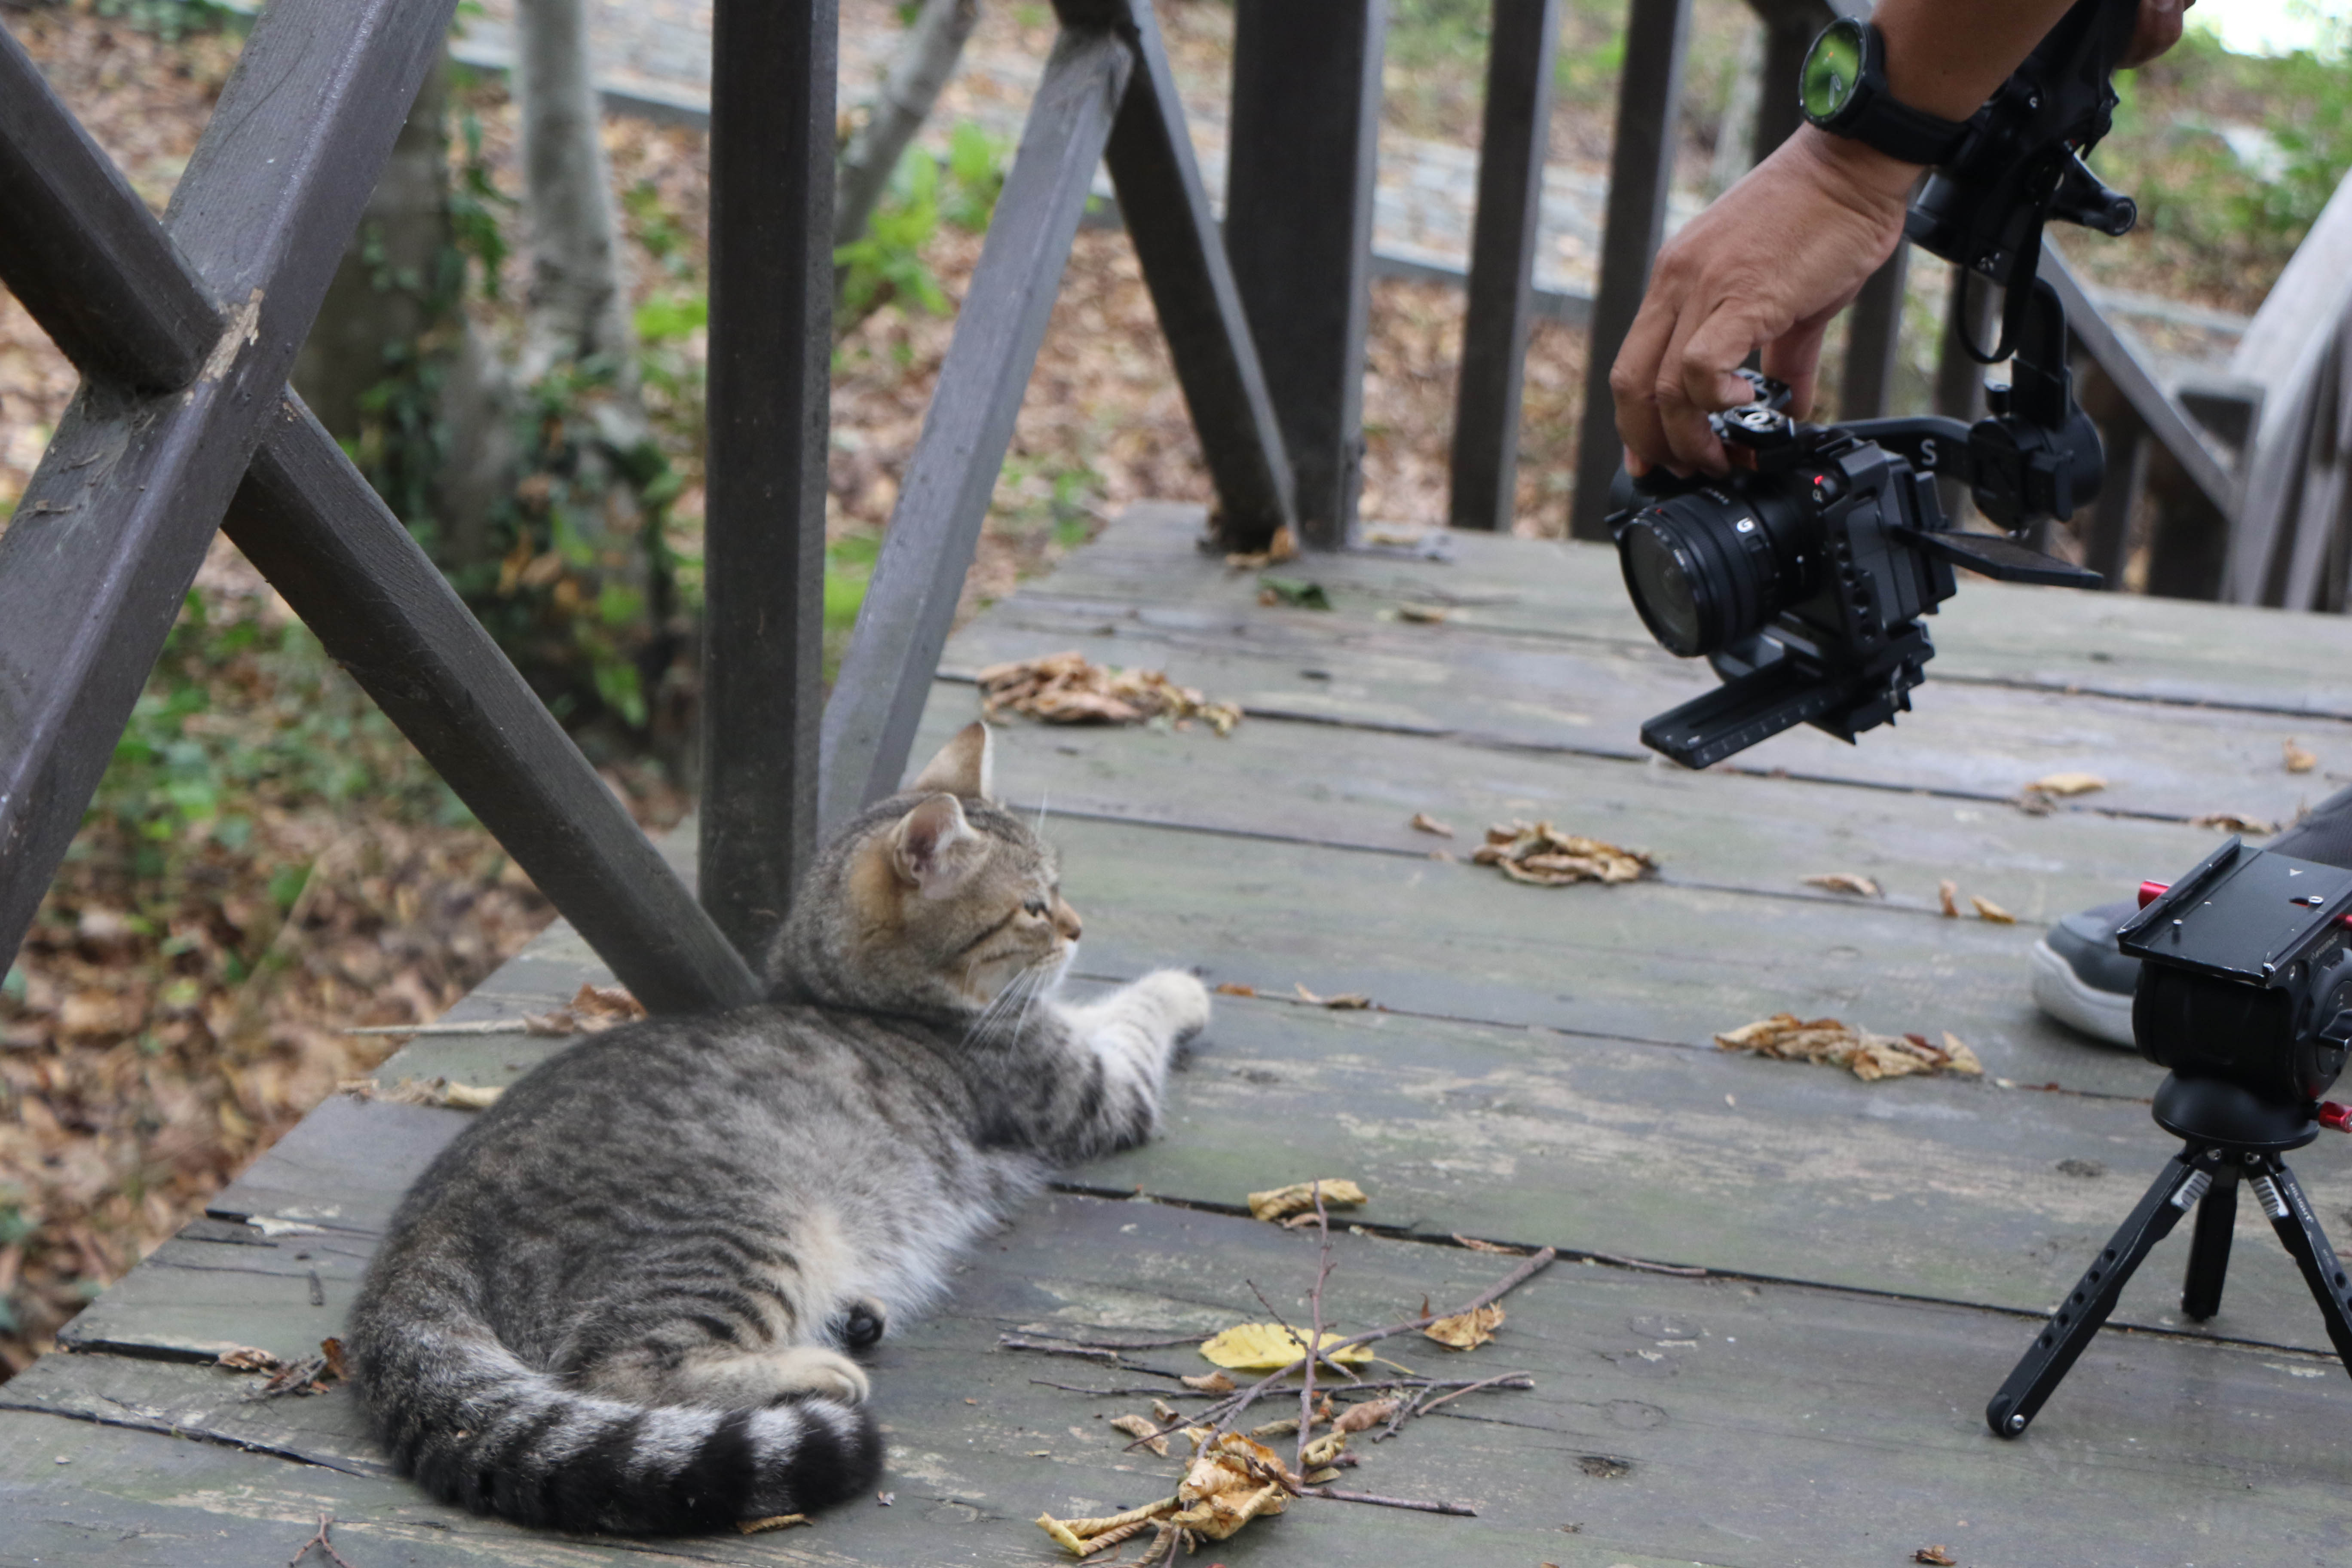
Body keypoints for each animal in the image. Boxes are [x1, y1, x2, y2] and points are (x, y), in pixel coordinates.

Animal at [348, 729, 1213, 1532]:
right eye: (1035, 905)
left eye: (1058, 892)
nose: (1076, 927)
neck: (851, 995)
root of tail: (416, 1239)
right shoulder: (1089, 1089)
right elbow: (1134, 1015)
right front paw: (1184, 987)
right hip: (750, 1228)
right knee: (617, 1369)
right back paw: (819, 1371)